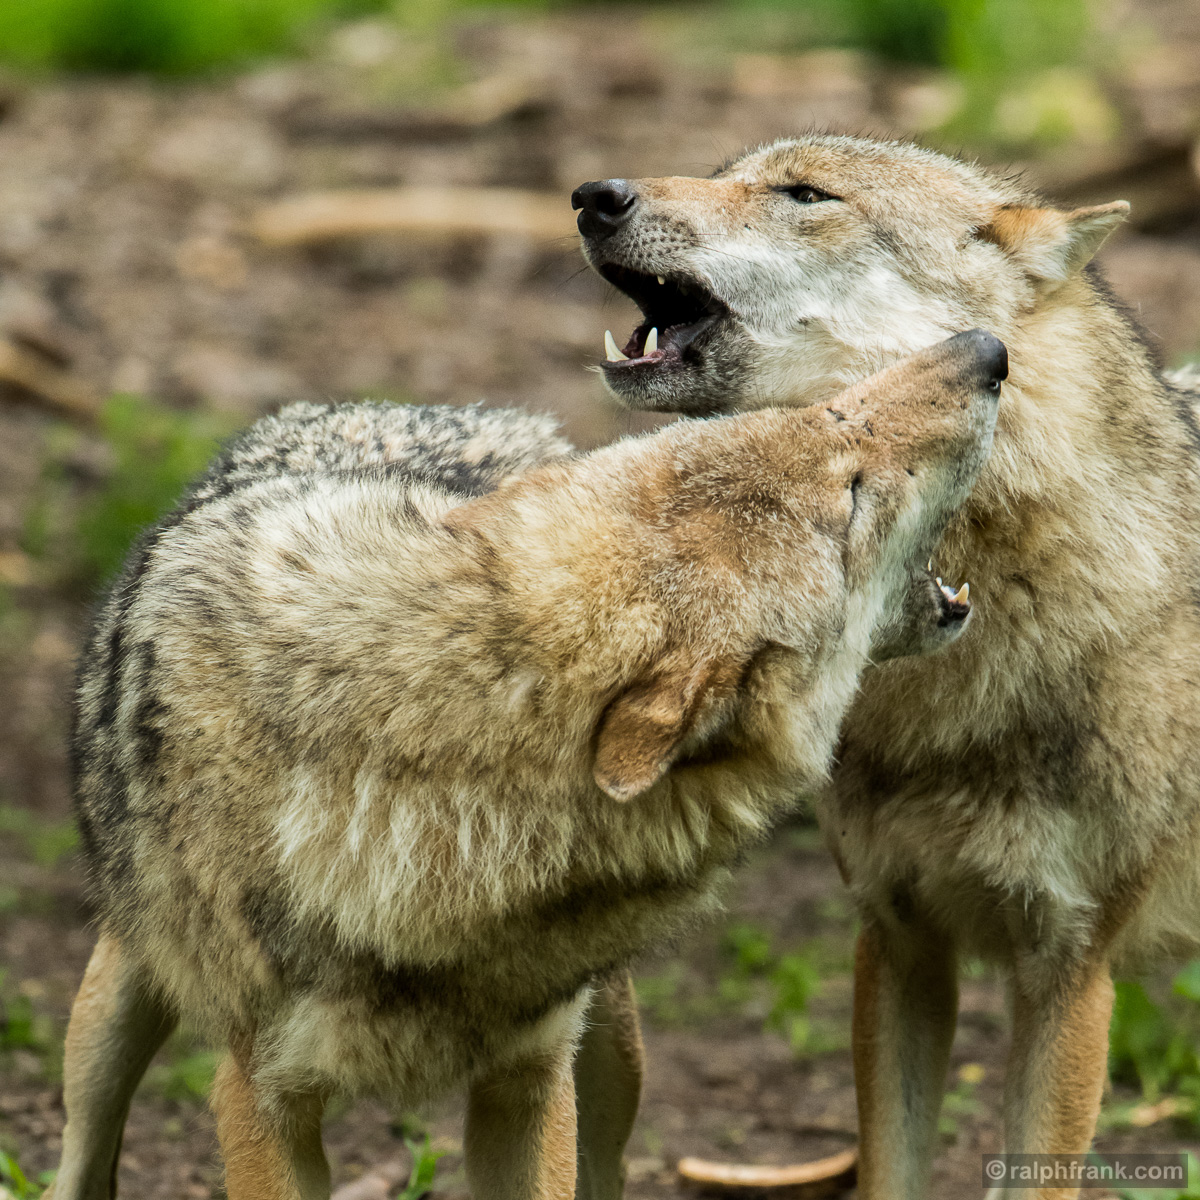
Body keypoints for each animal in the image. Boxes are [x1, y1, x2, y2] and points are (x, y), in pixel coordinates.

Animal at [47, 333, 1003, 1200]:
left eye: (820, 426)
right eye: (848, 485)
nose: (985, 351)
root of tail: (432, 408)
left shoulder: (530, 1079)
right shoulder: (261, 1101)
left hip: (610, 1053)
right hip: (111, 1017)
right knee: (82, 1154)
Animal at [573, 133, 1200, 1199]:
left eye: (805, 195)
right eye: (727, 173)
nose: (592, 195)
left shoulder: (1071, 973)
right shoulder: (897, 939)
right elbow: (888, 1167)